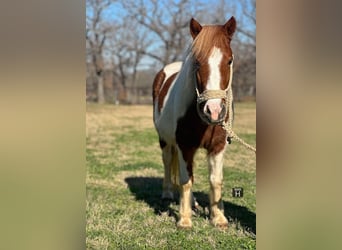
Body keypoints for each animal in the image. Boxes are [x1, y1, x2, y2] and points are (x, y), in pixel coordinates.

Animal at [153, 17, 236, 229]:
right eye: (197, 62)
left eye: (229, 60)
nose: (213, 110)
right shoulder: (184, 146)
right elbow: (185, 181)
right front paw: (184, 220)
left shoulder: (217, 146)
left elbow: (215, 180)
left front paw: (219, 218)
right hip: (165, 140)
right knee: (168, 163)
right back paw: (167, 193)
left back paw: (193, 203)